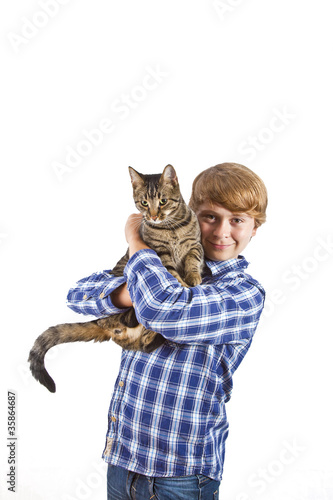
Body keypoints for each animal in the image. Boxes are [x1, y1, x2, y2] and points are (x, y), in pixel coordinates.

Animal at [27, 166, 204, 392]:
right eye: (144, 203)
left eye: (163, 201)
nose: (153, 216)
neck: (170, 229)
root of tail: (104, 326)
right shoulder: (160, 254)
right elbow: (172, 275)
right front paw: (183, 284)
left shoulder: (195, 245)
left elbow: (192, 260)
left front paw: (194, 276)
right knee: (130, 324)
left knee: (141, 344)